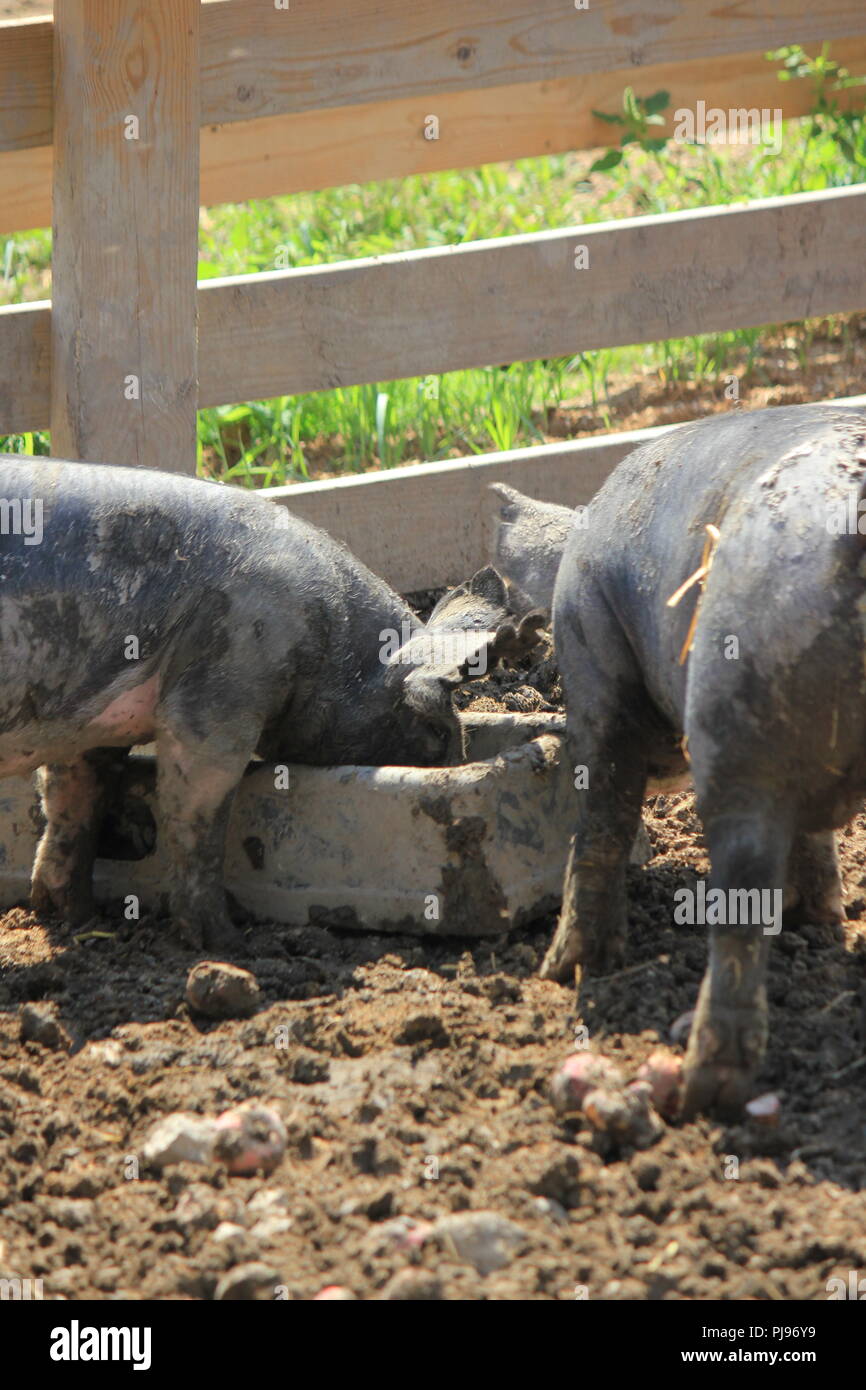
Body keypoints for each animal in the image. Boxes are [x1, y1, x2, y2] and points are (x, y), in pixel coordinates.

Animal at [0, 458, 542, 956]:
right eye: (437, 729)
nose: (454, 764)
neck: (332, 642)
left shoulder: (87, 716)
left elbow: (72, 794)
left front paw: (72, 915)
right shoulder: (227, 682)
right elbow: (193, 811)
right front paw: (228, 945)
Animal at [492, 405, 866, 1117]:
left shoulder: (593, 669)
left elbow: (602, 822)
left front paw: (565, 970)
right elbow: (815, 840)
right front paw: (820, 921)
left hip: (736, 710)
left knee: (741, 894)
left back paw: (703, 1089)